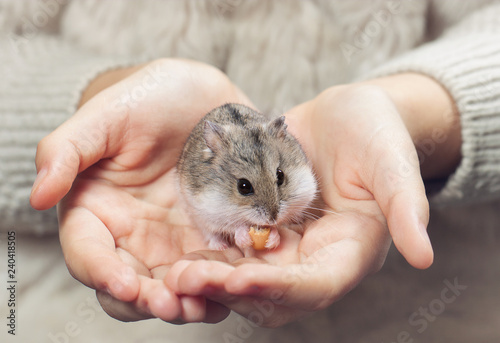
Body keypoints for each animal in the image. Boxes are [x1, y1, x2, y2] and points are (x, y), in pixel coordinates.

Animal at [176, 103, 316, 251]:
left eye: (280, 175)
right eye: (243, 186)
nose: (272, 219)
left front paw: (273, 238)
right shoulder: (207, 212)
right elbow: (233, 226)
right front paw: (243, 237)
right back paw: (220, 246)